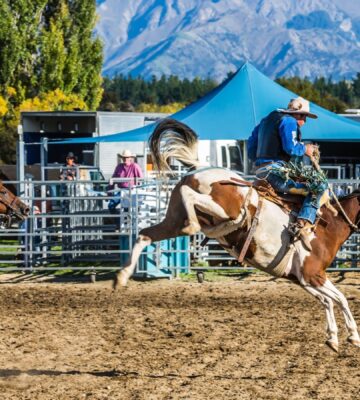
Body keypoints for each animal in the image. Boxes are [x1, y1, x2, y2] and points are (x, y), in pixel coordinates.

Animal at [113, 119, 360, 354]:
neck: (330, 224)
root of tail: (202, 168)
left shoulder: (302, 278)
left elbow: (328, 300)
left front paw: (333, 338)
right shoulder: (313, 274)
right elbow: (340, 298)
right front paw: (353, 335)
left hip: (174, 220)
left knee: (144, 235)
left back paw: (122, 276)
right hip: (225, 210)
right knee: (189, 198)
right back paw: (191, 226)